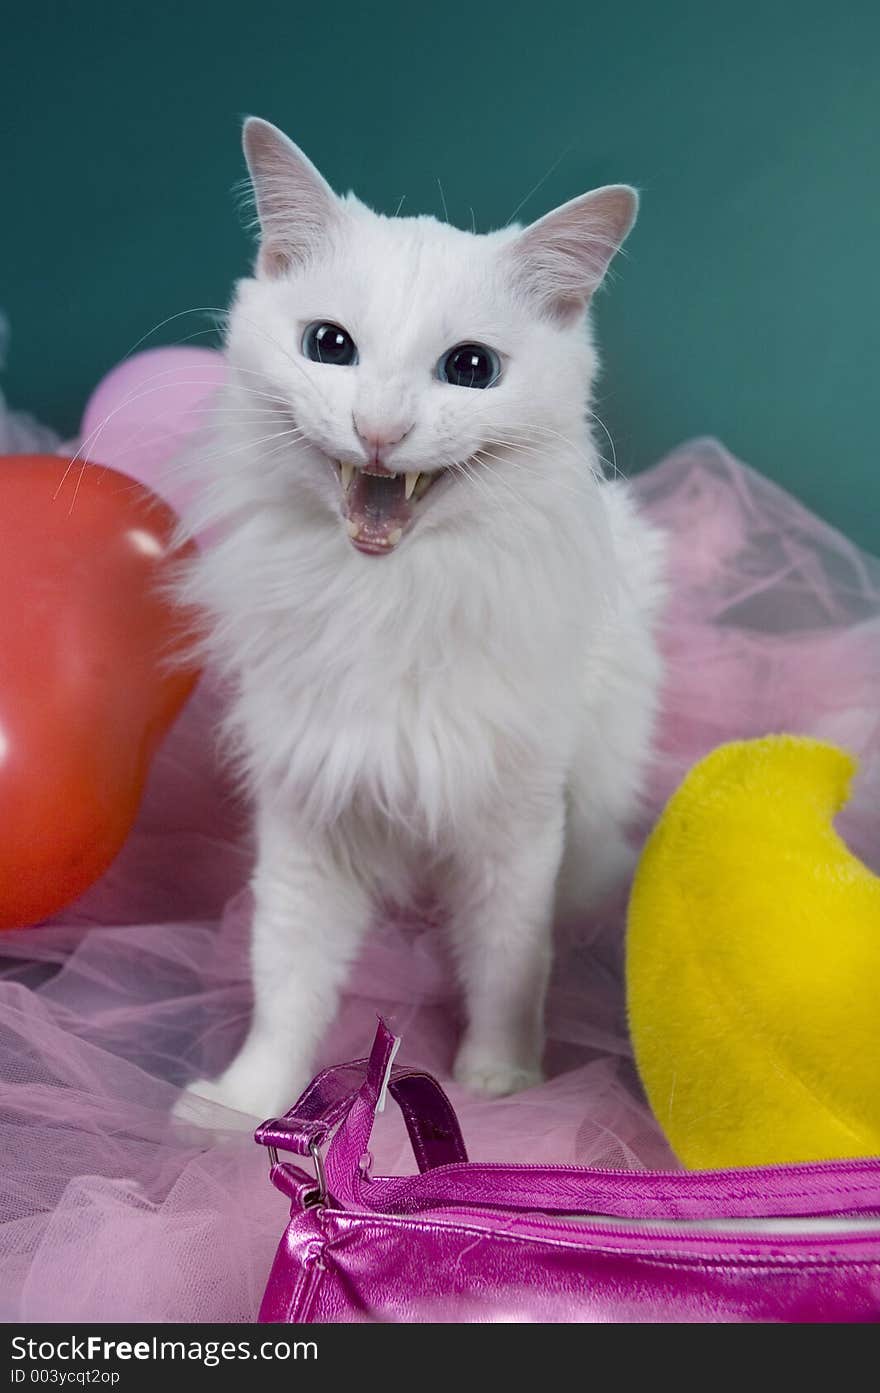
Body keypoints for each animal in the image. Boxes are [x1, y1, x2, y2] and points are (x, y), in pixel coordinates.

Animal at [178, 119, 662, 1119]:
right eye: (330, 346)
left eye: (471, 369)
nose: (378, 430)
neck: (387, 598)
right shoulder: (305, 810)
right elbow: (286, 979)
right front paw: (244, 1104)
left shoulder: (515, 824)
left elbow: (510, 963)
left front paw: (503, 1082)